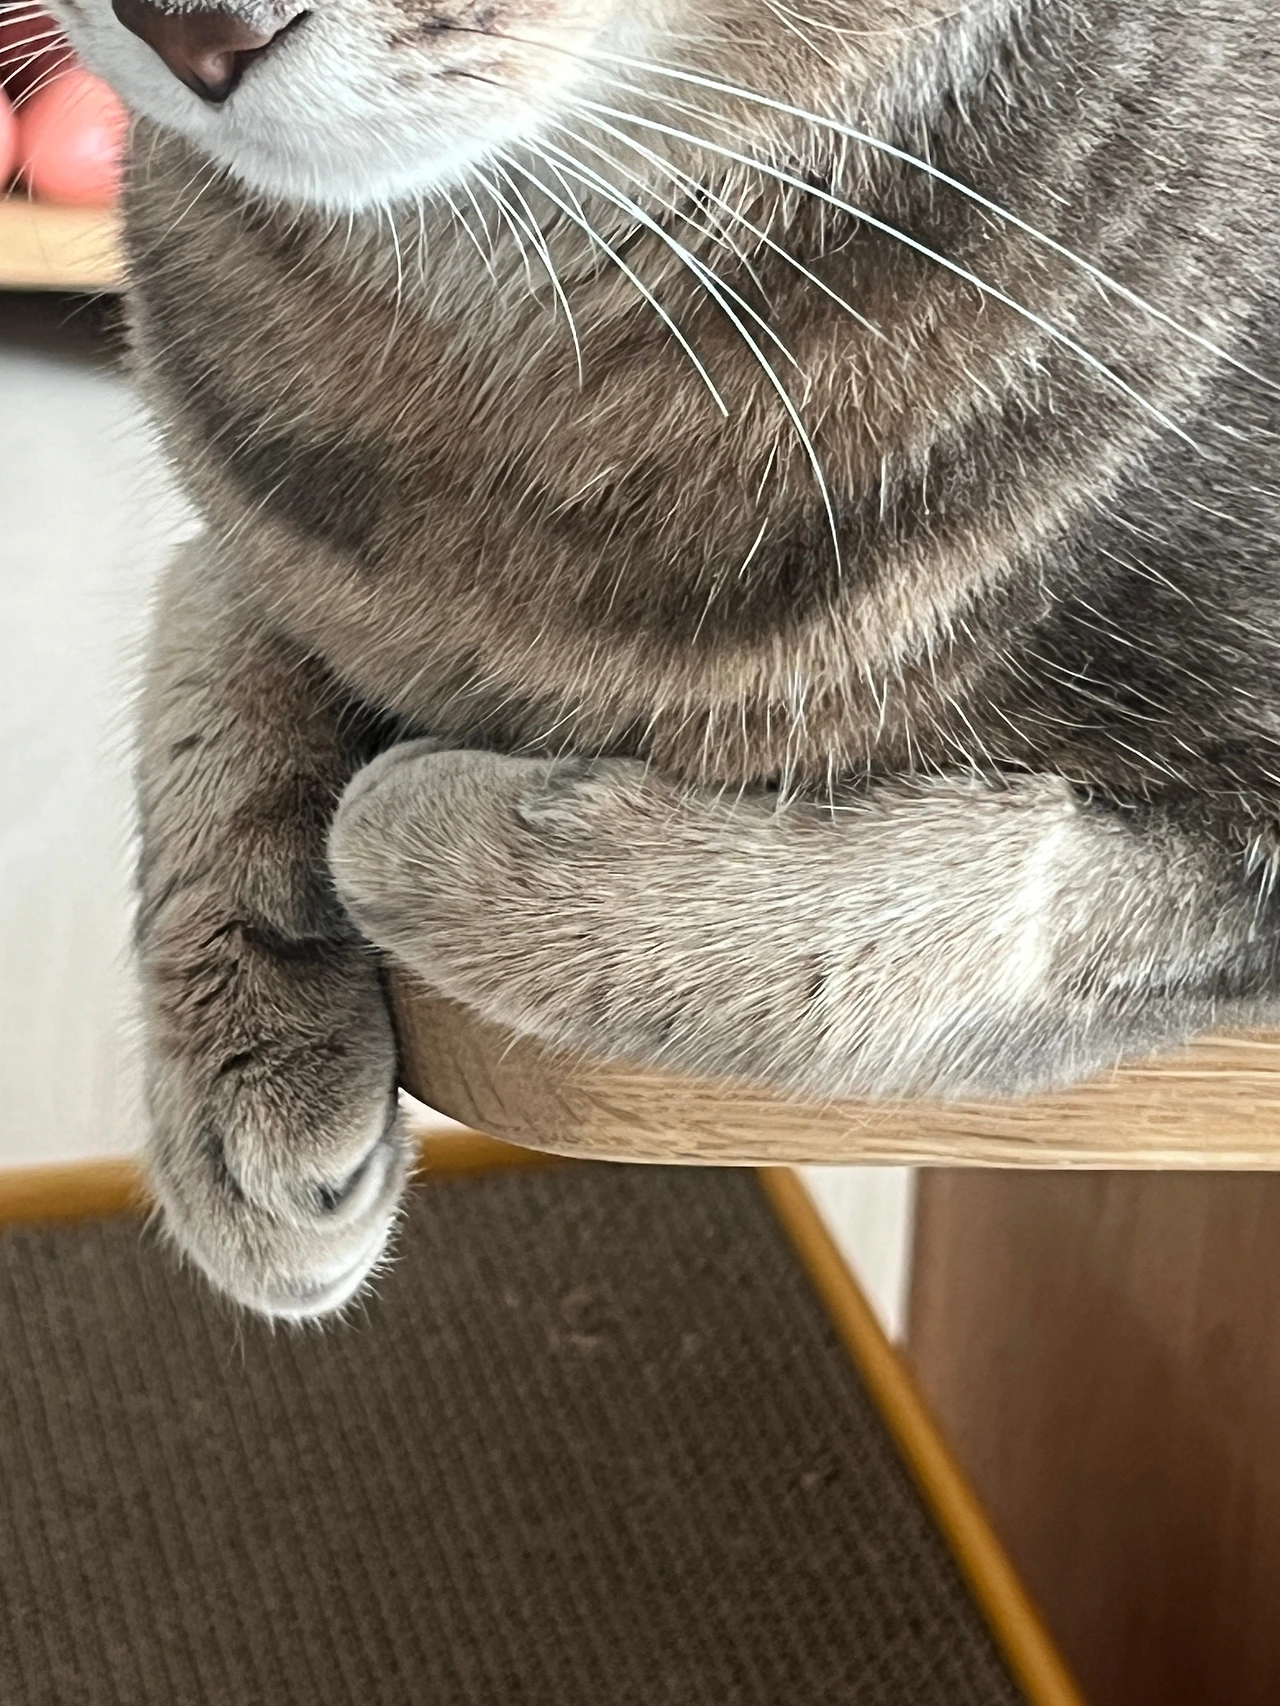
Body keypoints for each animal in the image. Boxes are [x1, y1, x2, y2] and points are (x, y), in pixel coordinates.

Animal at [26, 0, 1280, 1315]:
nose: (186, 31)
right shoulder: (257, 528)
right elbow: (211, 662)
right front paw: (243, 1082)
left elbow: (965, 907)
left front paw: (430, 839)